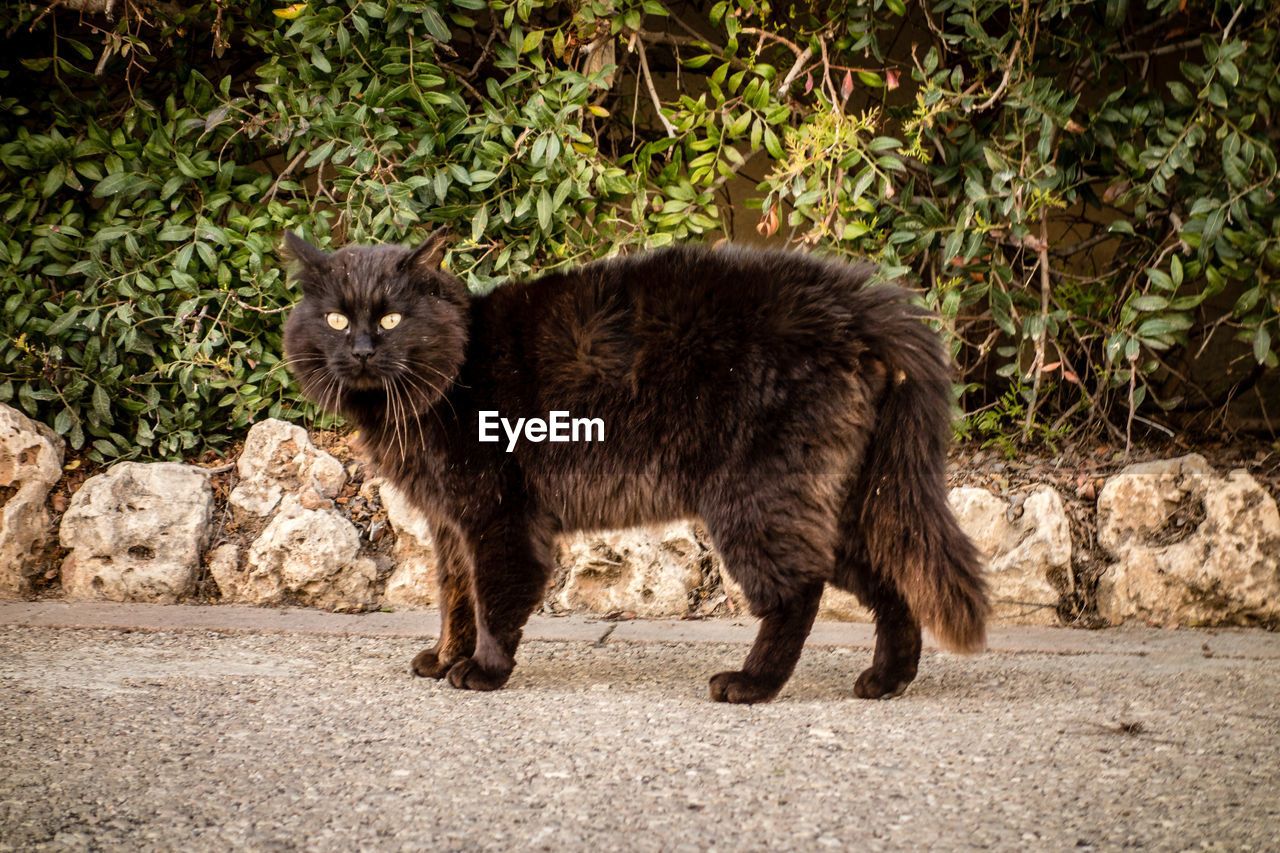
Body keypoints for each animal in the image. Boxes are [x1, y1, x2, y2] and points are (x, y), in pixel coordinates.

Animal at [282, 229, 988, 701]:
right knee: (890, 579)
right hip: (824, 504)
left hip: (756, 500)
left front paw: (482, 670)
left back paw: (752, 684)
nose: (363, 351)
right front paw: (442, 656)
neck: (447, 380)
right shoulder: (448, 526)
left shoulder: (497, 520)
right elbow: (454, 598)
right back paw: (887, 679)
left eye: (391, 318)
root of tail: (849, 301)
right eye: (336, 319)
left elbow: (493, 602)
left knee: (797, 592)